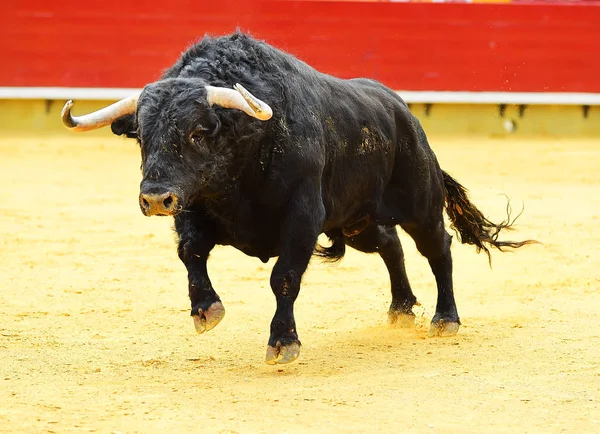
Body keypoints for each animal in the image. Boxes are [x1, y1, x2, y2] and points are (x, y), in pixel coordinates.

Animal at [61, 31, 536, 362]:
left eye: (197, 132)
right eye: (141, 136)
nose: (155, 199)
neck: (246, 149)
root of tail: (402, 112)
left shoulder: (302, 218)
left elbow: (284, 277)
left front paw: (282, 342)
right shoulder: (192, 204)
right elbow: (190, 252)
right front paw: (205, 310)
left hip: (420, 204)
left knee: (437, 247)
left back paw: (445, 319)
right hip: (357, 221)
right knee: (390, 246)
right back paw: (401, 308)